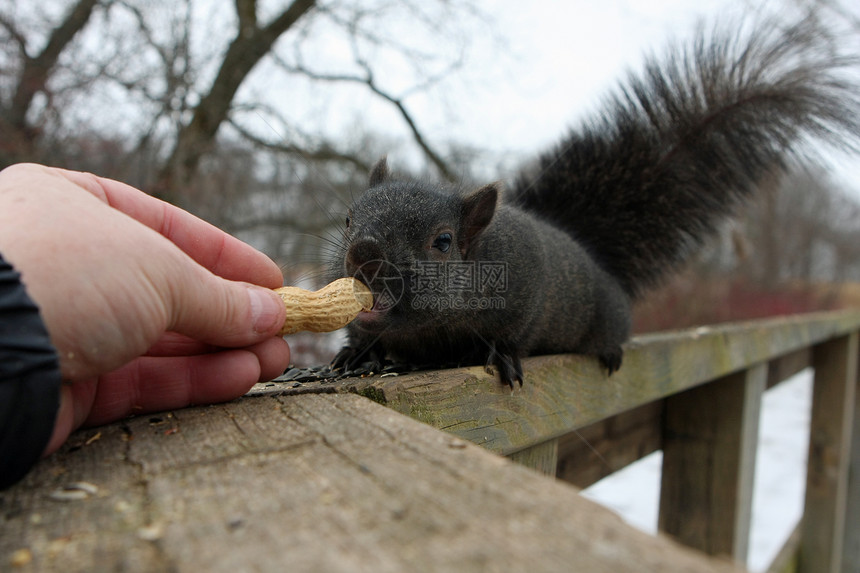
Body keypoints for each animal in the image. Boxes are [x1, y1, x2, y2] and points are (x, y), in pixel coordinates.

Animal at [328, 19, 860, 384]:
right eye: (349, 218)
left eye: (442, 242)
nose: (364, 254)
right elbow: (365, 336)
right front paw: (357, 355)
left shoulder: (526, 289)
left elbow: (512, 334)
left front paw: (501, 356)